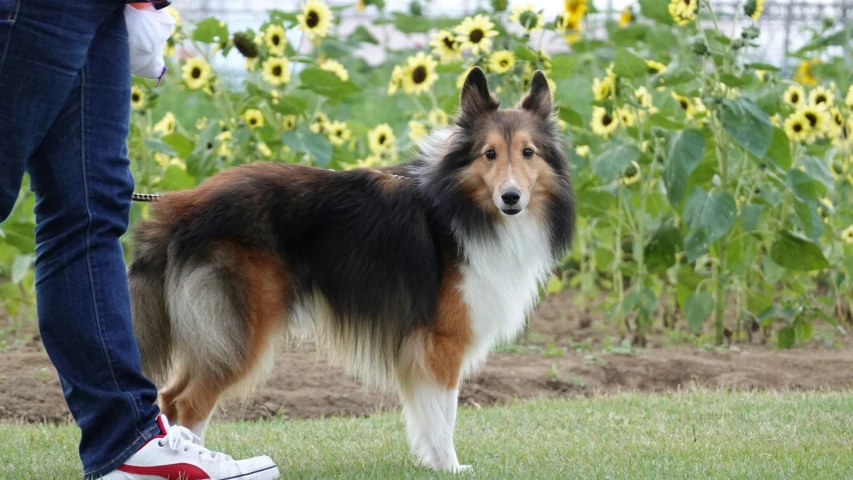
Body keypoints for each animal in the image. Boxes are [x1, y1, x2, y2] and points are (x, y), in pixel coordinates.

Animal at [126, 67, 576, 472]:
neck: (459, 206)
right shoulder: (441, 342)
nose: (511, 198)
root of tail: (181, 206)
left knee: (170, 396)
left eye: (528, 153)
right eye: (489, 154)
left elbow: (426, 414)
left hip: (211, 329)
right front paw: (449, 466)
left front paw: (431, 462)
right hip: (240, 332)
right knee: (190, 401)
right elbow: (443, 414)